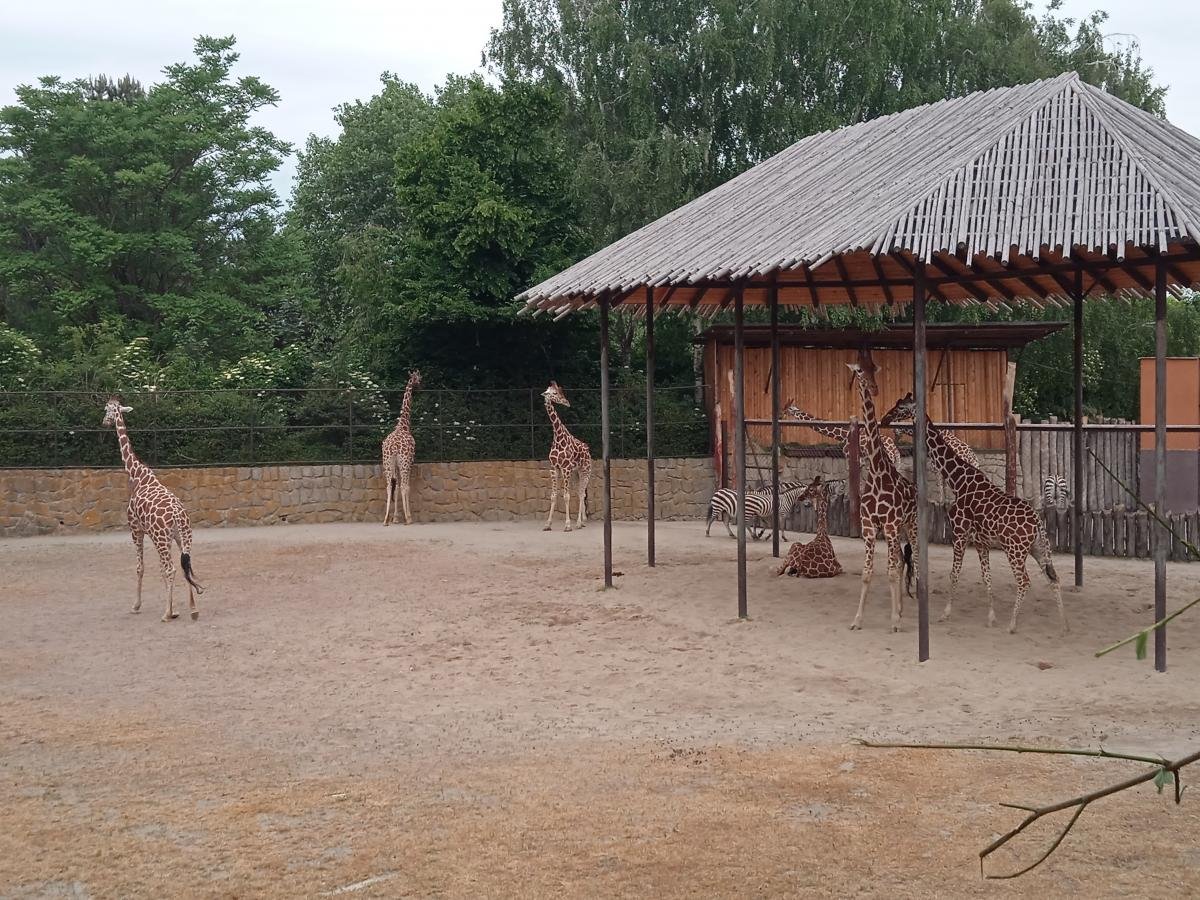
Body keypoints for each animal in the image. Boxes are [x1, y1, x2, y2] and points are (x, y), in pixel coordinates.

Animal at [101, 397, 203, 622]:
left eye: (106, 409)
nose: (104, 422)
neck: (137, 475)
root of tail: (178, 515)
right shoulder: (155, 535)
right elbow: (160, 569)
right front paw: (175, 609)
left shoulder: (135, 529)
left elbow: (141, 567)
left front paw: (137, 605)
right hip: (181, 536)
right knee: (185, 564)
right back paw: (193, 609)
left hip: (161, 537)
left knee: (172, 568)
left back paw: (165, 614)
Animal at [382, 370, 421, 526]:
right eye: (419, 378)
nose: (420, 386)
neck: (403, 425)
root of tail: (393, 447)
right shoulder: (409, 461)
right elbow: (406, 487)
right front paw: (407, 517)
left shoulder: (397, 465)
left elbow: (396, 487)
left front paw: (395, 518)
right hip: (404, 462)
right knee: (404, 485)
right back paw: (408, 519)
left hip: (387, 463)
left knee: (389, 486)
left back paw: (385, 520)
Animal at [542, 381, 592, 532]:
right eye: (554, 393)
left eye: (558, 392)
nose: (567, 402)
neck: (558, 437)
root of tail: (587, 449)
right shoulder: (554, 468)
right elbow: (553, 496)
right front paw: (547, 524)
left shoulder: (566, 468)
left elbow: (566, 496)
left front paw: (568, 525)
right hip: (576, 473)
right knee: (579, 492)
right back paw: (582, 522)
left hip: (585, 471)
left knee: (582, 493)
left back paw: (579, 523)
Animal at [847, 358, 917, 632]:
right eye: (859, 371)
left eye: (874, 369)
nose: (874, 389)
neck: (876, 473)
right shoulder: (870, 527)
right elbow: (868, 574)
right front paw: (857, 620)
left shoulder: (889, 525)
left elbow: (890, 572)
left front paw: (895, 621)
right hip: (898, 530)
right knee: (901, 561)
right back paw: (900, 609)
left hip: (910, 526)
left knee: (912, 562)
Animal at [880, 394, 1066, 634]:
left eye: (901, 408)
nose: (885, 418)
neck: (958, 479)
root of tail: (1038, 524)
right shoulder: (980, 541)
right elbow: (986, 577)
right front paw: (991, 618)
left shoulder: (959, 534)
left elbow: (954, 573)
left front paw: (945, 614)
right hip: (1039, 548)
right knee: (1053, 578)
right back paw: (1064, 624)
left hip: (1015, 550)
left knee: (1025, 581)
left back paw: (1012, 625)